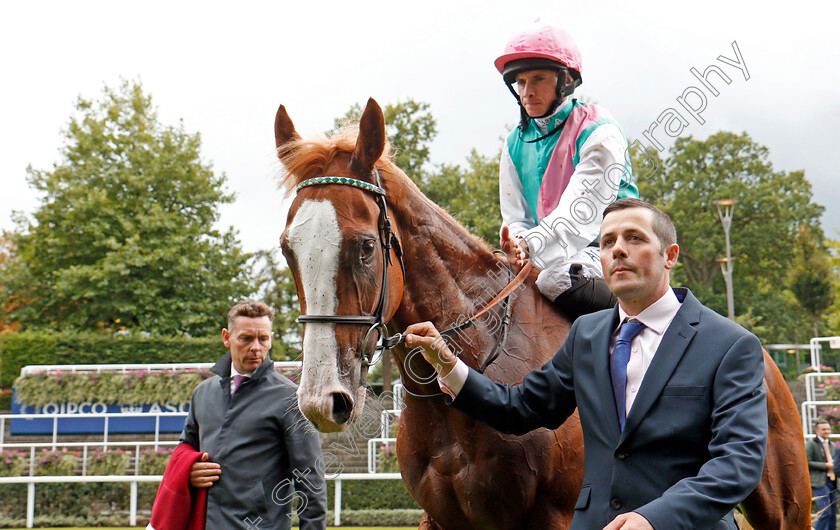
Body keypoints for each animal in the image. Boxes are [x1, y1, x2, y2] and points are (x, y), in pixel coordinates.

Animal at [276, 98, 812, 524]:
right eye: (287, 249)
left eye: (365, 246)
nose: (322, 400)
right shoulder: (443, 519)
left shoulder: (555, 516)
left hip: (786, 505)